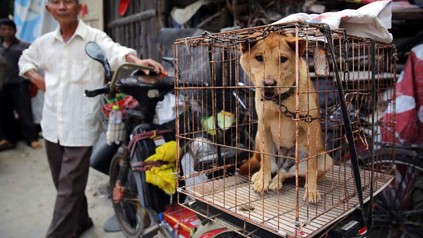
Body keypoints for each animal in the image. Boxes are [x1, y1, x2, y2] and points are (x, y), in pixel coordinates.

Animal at [240, 31, 332, 203]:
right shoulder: (263, 125)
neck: (280, 101)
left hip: (325, 159)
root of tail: (284, 163)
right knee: (271, 166)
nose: (269, 83)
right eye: (259, 58)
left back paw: (279, 182)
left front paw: (311, 190)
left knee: (287, 173)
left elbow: (312, 166)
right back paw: (261, 176)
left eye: (282, 59)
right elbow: (266, 161)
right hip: (258, 136)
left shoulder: (310, 125)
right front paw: (263, 181)